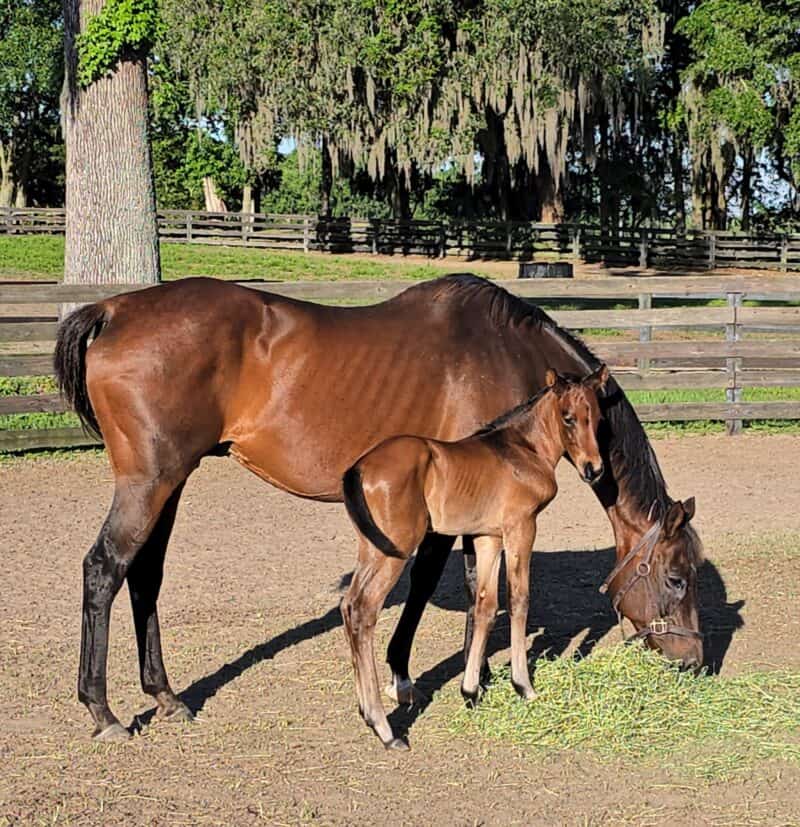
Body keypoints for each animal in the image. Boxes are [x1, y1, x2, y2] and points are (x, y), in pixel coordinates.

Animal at [341, 366, 609, 748]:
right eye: (568, 417)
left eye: (598, 418)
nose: (593, 469)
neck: (522, 449)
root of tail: (360, 467)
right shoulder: (521, 527)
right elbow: (518, 599)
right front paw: (523, 686)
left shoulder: (487, 537)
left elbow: (485, 604)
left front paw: (470, 691)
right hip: (395, 550)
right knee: (364, 610)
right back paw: (385, 729)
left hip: (373, 548)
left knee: (349, 607)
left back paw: (366, 712)